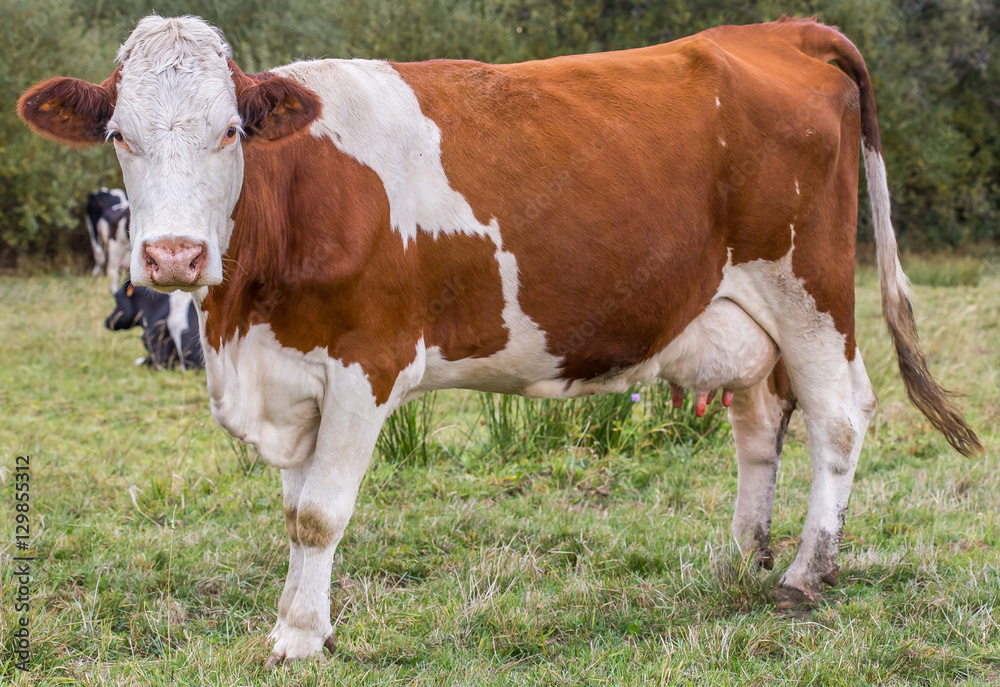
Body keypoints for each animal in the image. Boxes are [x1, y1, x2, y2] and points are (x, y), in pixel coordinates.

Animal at [19, 14, 980, 660]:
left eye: (229, 131)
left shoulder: (367, 364)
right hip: (740, 313)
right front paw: (310, 623)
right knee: (758, 423)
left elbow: (323, 512)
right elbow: (296, 511)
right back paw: (742, 557)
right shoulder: (288, 377)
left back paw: (806, 573)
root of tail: (779, 30)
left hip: (809, 292)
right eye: (119, 134)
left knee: (840, 415)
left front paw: (293, 639)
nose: (173, 253)